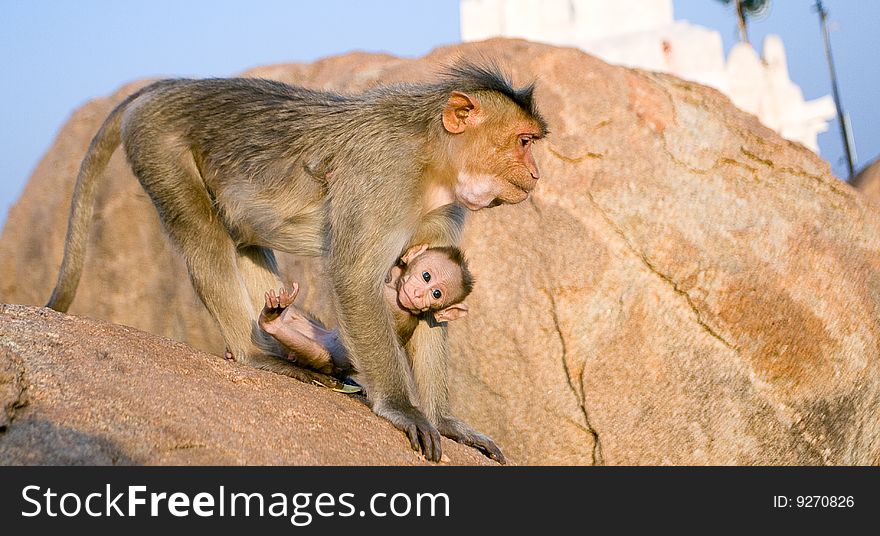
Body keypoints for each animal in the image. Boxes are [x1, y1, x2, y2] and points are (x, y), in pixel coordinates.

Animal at [258, 246, 470, 376]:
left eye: (436, 294)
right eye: (426, 276)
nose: (418, 295)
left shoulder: (395, 304)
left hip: (325, 361)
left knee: (315, 353)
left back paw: (272, 322)